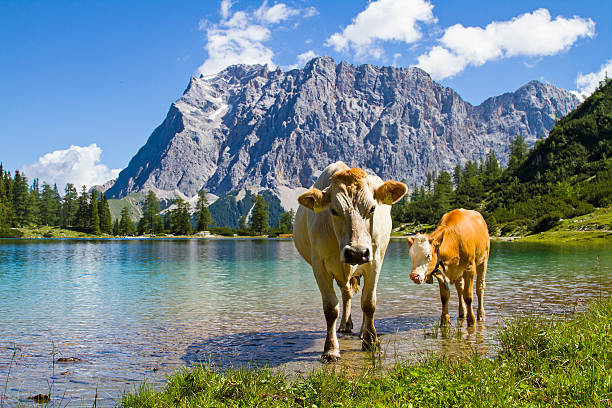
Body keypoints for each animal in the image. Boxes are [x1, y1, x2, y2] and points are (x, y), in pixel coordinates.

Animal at [296, 161, 406, 362]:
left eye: (372, 208)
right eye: (333, 210)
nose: (356, 252)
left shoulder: (374, 261)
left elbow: (368, 303)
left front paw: (371, 341)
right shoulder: (319, 265)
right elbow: (331, 308)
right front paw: (331, 349)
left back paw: (363, 331)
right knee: (346, 294)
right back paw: (345, 325)